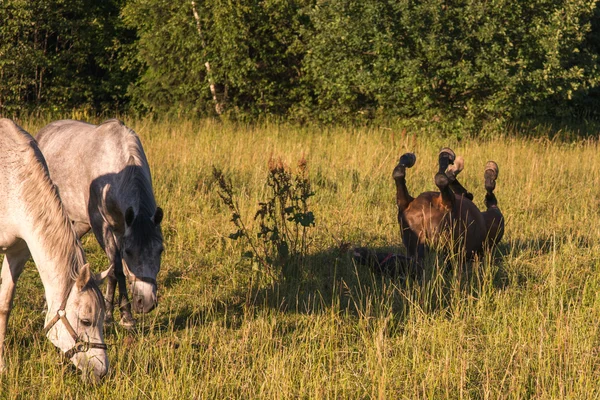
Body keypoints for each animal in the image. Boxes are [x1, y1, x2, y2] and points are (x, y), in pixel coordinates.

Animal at [37, 119, 164, 328]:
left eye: (160, 250)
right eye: (129, 252)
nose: (145, 303)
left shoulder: (121, 229)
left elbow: (117, 271)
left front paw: (119, 315)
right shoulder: (101, 226)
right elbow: (116, 269)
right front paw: (119, 316)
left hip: (81, 223)